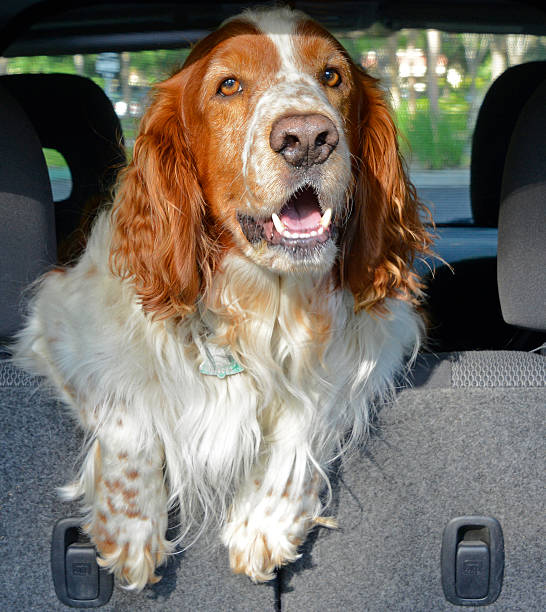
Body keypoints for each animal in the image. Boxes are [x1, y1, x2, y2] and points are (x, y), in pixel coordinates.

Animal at [13, 4, 430, 588]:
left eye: (332, 76)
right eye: (228, 85)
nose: (308, 137)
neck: (261, 296)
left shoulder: (376, 341)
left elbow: (310, 410)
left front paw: (265, 520)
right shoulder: (56, 322)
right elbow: (125, 409)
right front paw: (130, 527)